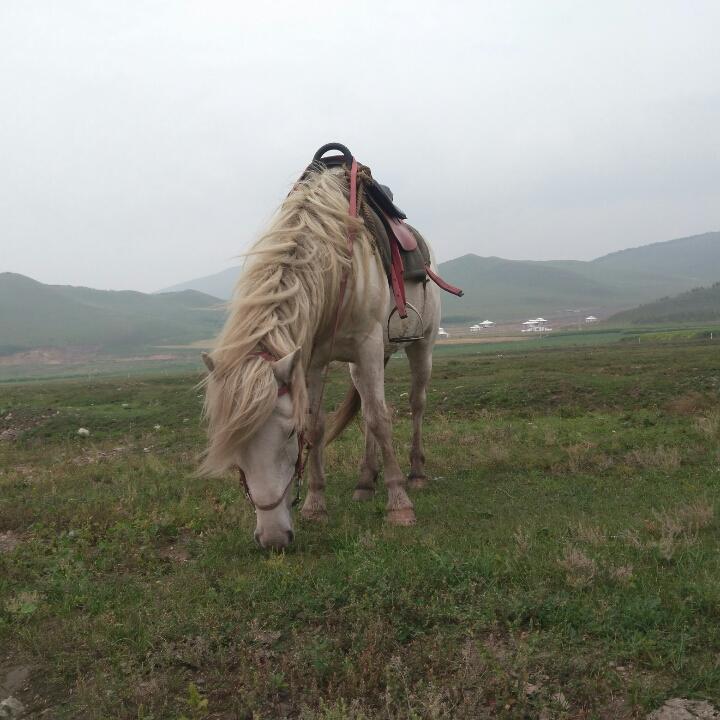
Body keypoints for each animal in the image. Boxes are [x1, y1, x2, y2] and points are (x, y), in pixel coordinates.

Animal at [200, 150, 441, 550]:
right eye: (234, 448)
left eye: (287, 435)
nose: (273, 539)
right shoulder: (311, 360)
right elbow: (320, 425)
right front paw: (315, 506)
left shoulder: (368, 345)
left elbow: (381, 419)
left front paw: (400, 506)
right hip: (364, 362)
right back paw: (365, 481)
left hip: (420, 345)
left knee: (414, 403)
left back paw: (417, 473)